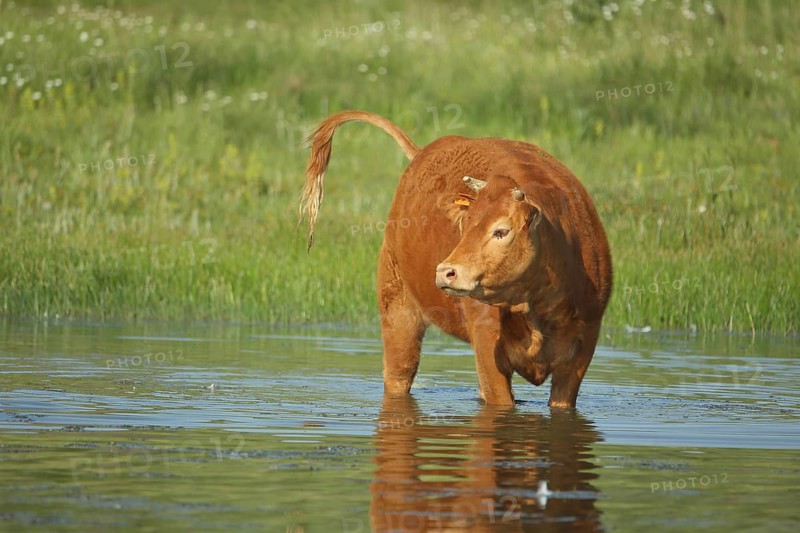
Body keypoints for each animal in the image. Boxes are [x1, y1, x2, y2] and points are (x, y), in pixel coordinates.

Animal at [300, 110, 612, 407]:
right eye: (464, 226)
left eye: (501, 230)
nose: (445, 272)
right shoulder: (488, 345)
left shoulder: (581, 352)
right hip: (397, 311)